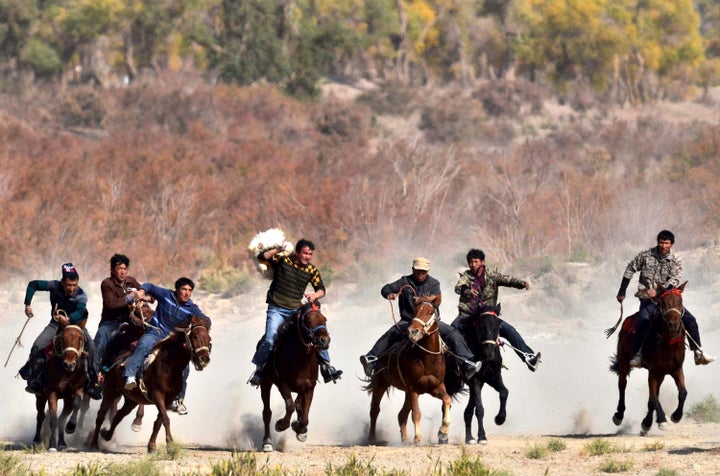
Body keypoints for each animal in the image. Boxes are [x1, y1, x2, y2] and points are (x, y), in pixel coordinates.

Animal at [33, 322, 89, 452]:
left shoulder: (77, 391)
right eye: (63, 338)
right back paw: (37, 440)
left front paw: (71, 427)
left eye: (80, 339)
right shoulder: (52, 393)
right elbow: (53, 419)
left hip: (67, 400)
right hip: (40, 397)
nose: (69, 364)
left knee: (62, 419)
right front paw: (52, 445)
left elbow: (76, 405)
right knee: (40, 416)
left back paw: (62, 443)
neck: (66, 373)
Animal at [88, 314, 210, 452]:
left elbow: (159, 422)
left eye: (209, 339)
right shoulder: (158, 396)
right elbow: (165, 419)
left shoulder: (168, 400)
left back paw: (107, 435)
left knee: (119, 415)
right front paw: (170, 445)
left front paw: (152, 446)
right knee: (101, 415)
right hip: (111, 391)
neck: (169, 367)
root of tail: (118, 361)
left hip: (132, 400)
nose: (204, 359)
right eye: (195, 336)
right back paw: (94, 444)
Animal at [260, 300, 330, 452]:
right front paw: (281, 425)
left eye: (324, 319)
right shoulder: (283, 384)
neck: (301, 360)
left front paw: (299, 429)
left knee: (299, 405)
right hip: (266, 383)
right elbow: (290, 406)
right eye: (308, 321)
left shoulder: (309, 388)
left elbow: (304, 415)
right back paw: (267, 442)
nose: (325, 341)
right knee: (267, 413)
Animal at [366, 296, 456, 444]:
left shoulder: (435, 387)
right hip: (381, 383)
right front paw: (418, 438)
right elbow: (416, 414)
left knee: (401, 414)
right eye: (415, 311)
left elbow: (447, 400)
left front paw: (443, 432)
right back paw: (371, 438)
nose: (413, 331)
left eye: (430, 312)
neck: (427, 359)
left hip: (407, 392)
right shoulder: (413, 388)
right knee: (375, 410)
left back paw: (405, 439)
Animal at [612, 282, 688, 436]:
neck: (667, 344)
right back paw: (619, 415)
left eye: (680, 302)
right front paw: (661, 420)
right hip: (624, 361)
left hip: (661, 374)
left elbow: (682, 393)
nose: (673, 325)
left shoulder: (675, 369)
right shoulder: (653, 371)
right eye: (663, 303)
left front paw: (675, 416)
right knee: (622, 385)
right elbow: (653, 398)